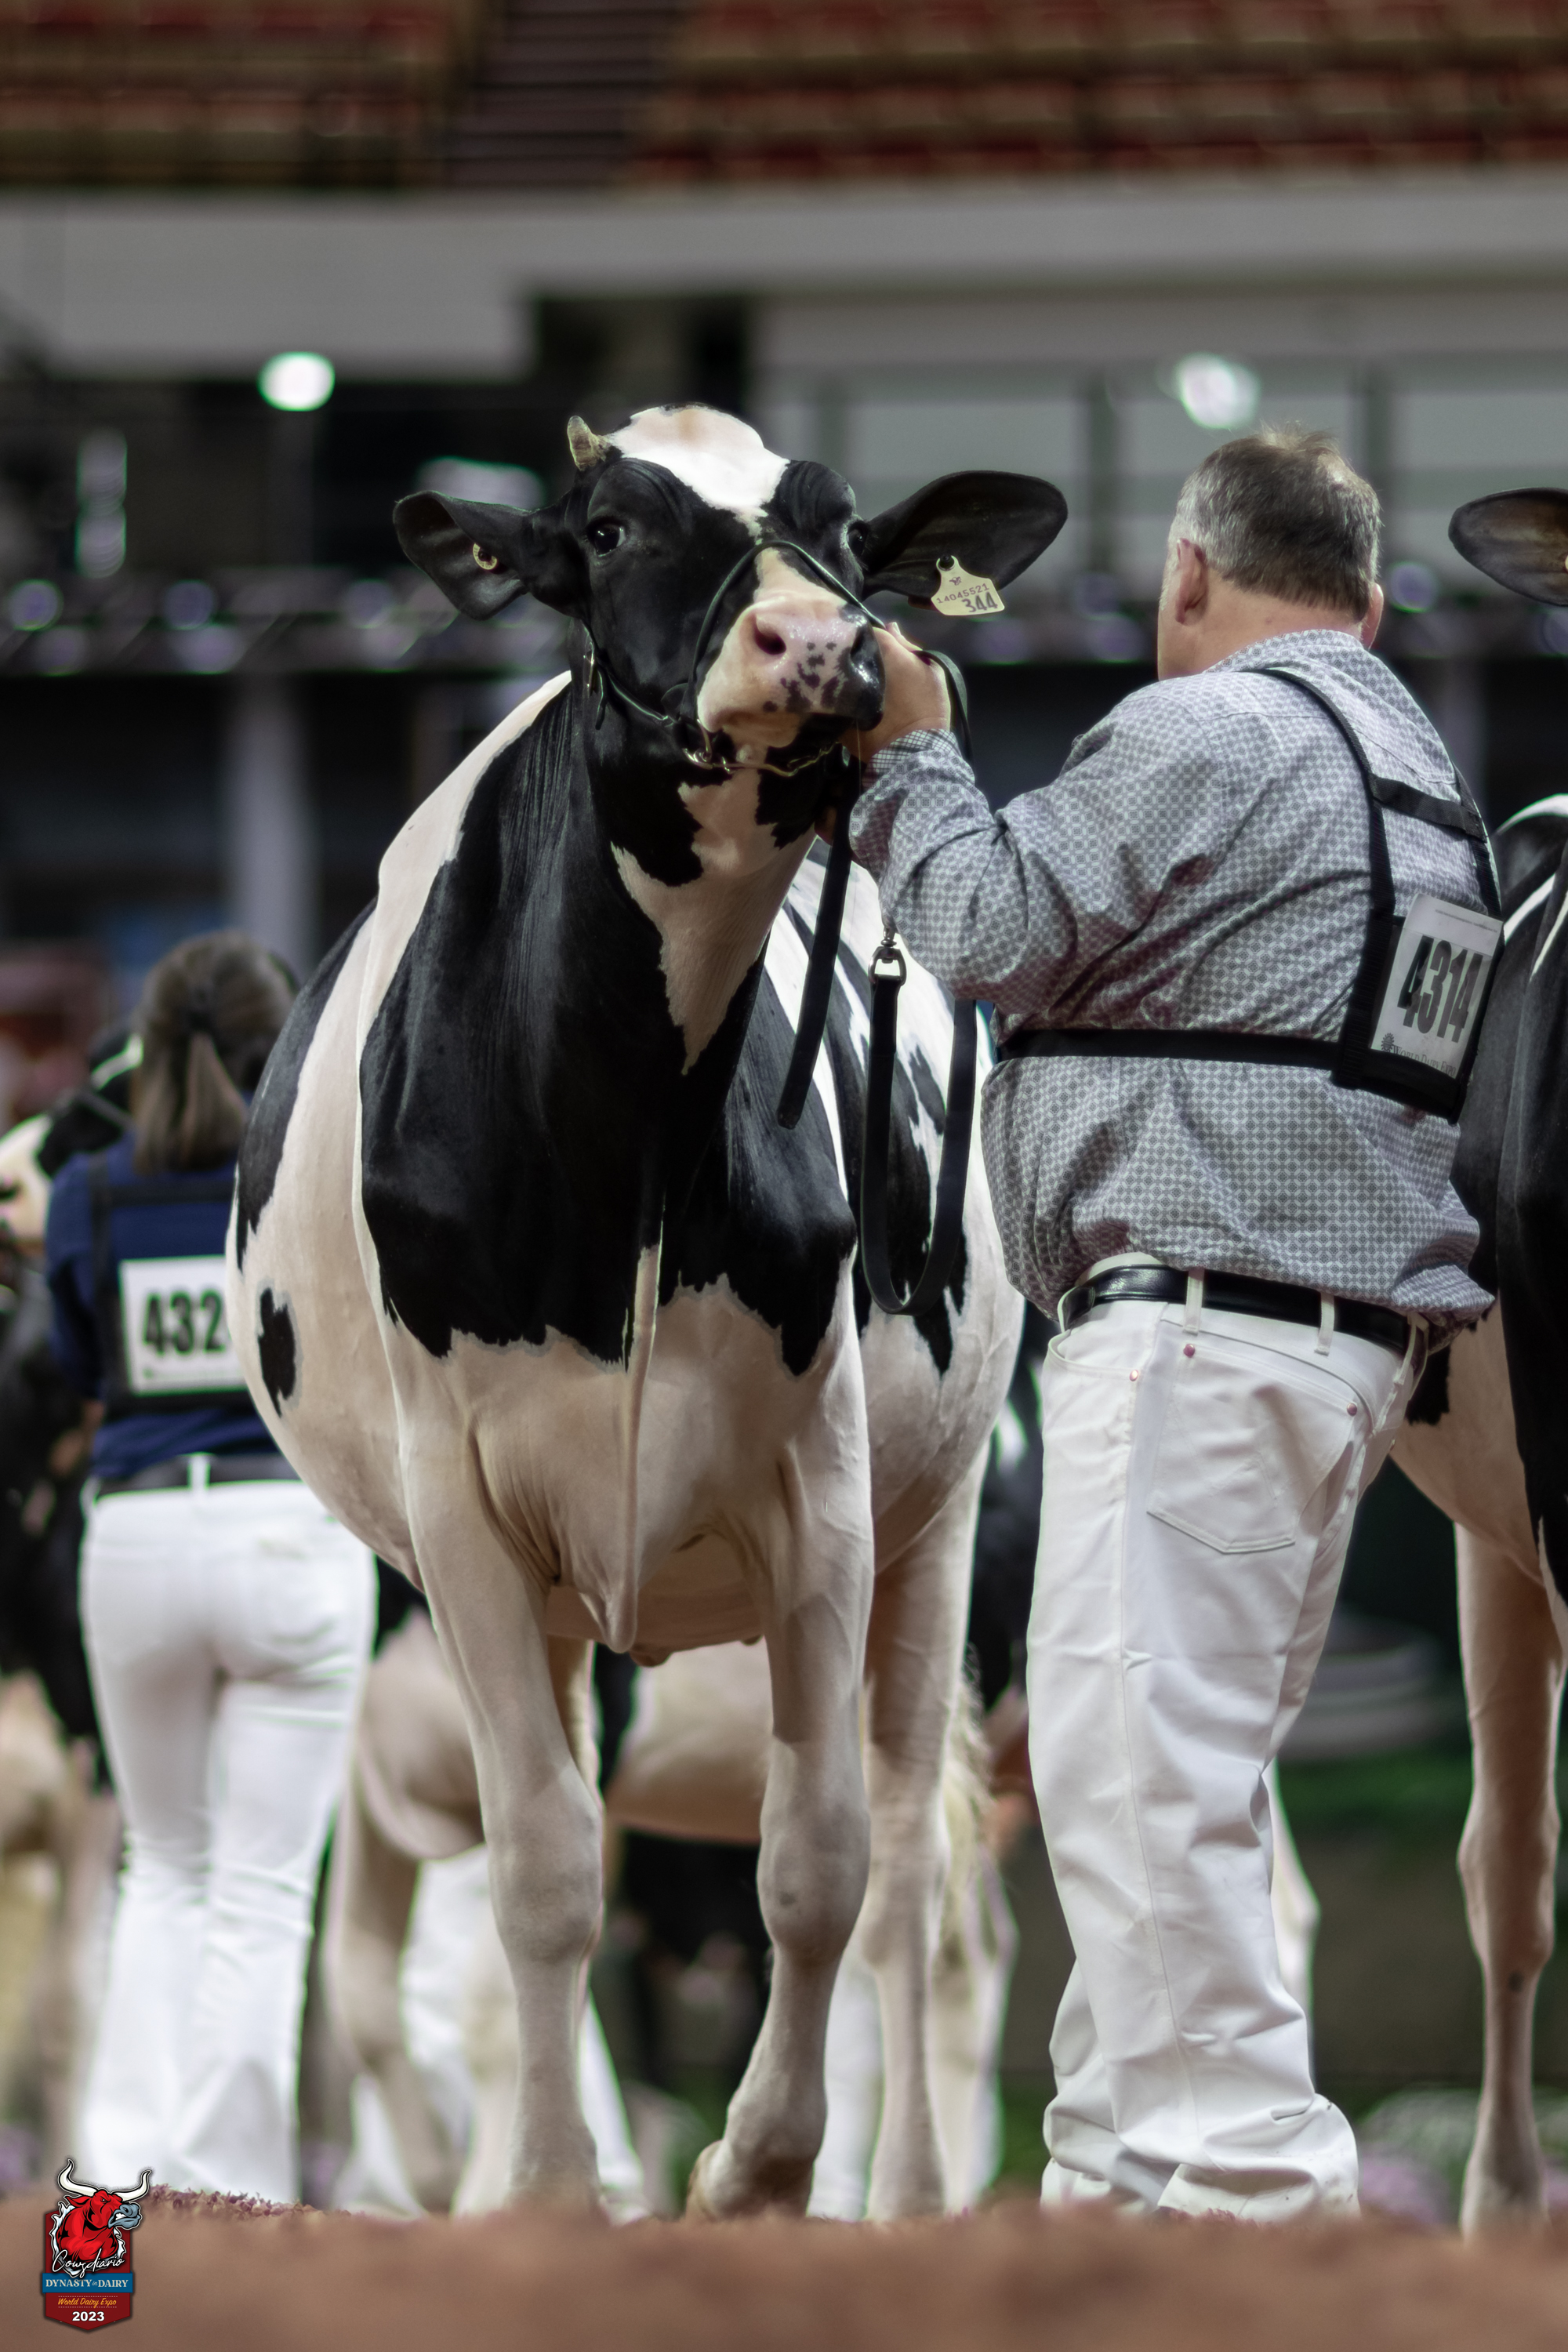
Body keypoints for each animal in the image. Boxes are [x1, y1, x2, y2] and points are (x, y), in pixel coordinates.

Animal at [227, 404, 1063, 2217]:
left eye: (844, 532)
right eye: (605, 528)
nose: (821, 643)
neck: (620, 1142)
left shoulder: (820, 1497)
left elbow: (814, 1866)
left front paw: (755, 2172)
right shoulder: (463, 1525)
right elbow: (535, 1884)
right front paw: (539, 2196)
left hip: (946, 1522)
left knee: (919, 1885)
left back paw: (905, 2201)